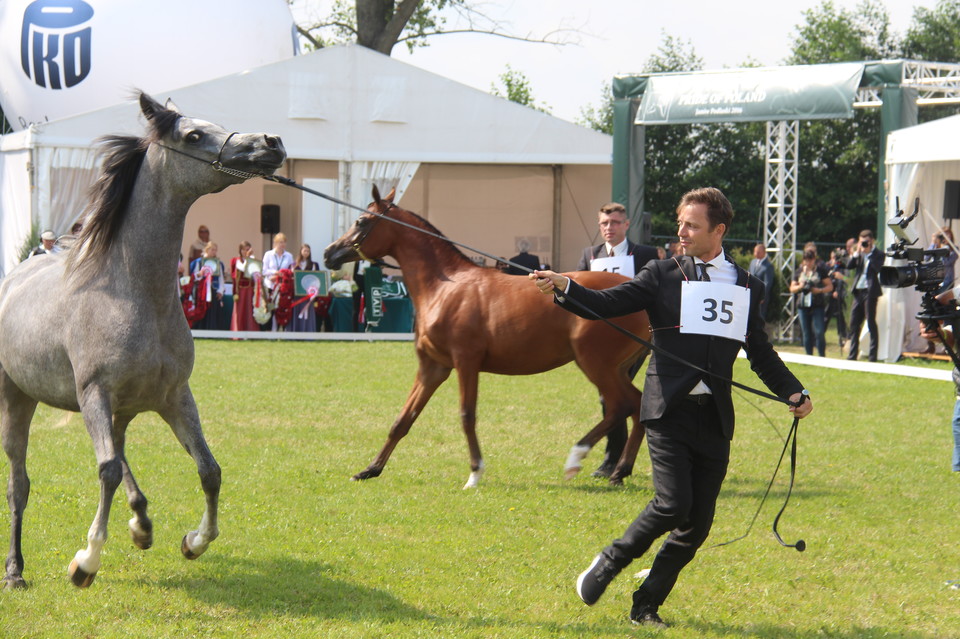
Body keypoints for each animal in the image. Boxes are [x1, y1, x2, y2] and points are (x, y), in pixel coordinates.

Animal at [0, 91, 284, 592]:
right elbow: (107, 470)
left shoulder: (175, 397)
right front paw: (85, 562)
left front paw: (194, 541)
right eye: (193, 135)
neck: (135, 294)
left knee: (121, 454)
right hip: (18, 396)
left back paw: (141, 526)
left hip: (123, 409)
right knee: (21, 483)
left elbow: (209, 470)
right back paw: (16, 570)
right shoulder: (94, 393)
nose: (271, 142)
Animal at [324, 188, 652, 488]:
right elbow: (403, 420)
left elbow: (466, 415)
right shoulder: (433, 367)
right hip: (616, 368)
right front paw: (370, 470)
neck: (444, 287)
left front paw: (474, 473)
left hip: (595, 363)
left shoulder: (465, 361)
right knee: (637, 405)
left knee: (621, 405)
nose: (330, 253)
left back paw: (578, 459)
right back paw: (619, 471)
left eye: (362, 221)